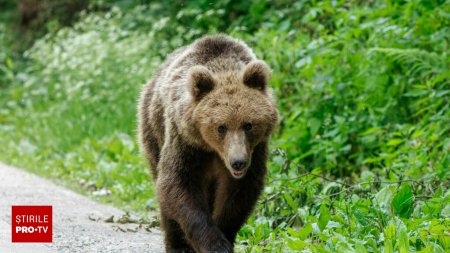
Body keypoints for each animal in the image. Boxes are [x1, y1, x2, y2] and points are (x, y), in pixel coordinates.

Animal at [137, 34, 278, 253]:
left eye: (248, 125)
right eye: (221, 127)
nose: (238, 162)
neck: (213, 150)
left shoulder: (255, 151)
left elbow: (238, 194)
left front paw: (224, 235)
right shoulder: (186, 142)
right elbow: (177, 183)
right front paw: (214, 244)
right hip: (153, 128)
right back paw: (176, 244)